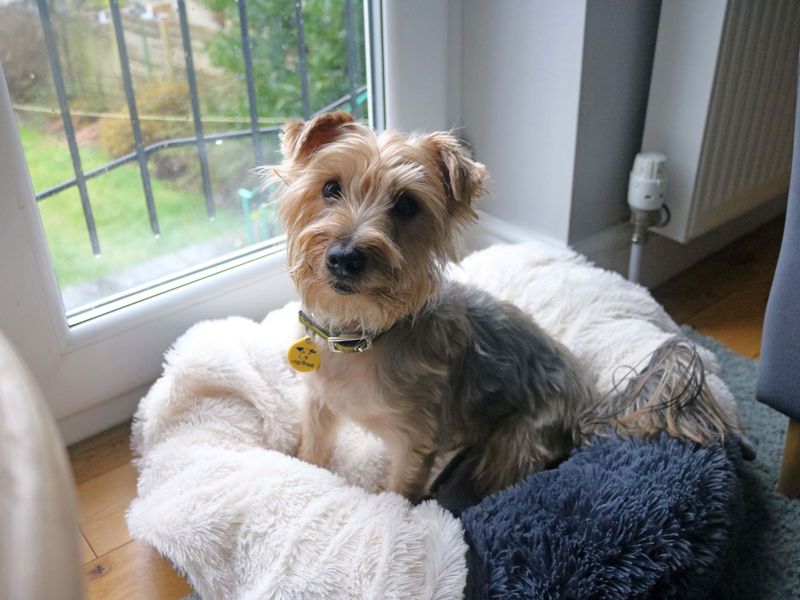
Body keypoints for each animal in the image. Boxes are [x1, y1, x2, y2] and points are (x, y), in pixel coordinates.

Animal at [270, 110, 744, 500]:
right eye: (330, 188)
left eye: (406, 205)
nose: (345, 257)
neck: (358, 333)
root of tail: (589, 402)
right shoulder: (318, 402)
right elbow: (313, 448)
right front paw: (306, 469)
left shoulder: (414, 437)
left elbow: (401, 489)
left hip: (517, 440)